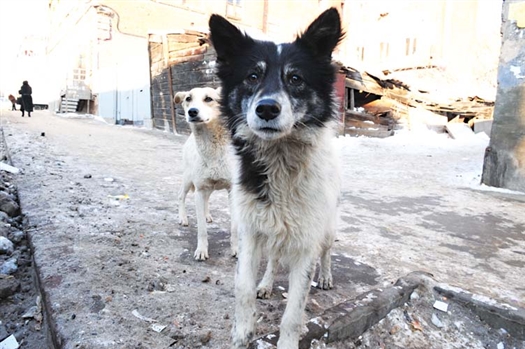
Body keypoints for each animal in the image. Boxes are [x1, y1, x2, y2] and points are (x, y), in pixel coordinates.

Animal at [173, 87, 236, 260]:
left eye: (208, 99)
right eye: (188, 99)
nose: (192, 112)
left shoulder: (233, 191)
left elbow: (235, 227)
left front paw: (236, 249)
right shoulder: (199, 190)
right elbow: (201, 229)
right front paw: (201, 250)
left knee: (207, 200)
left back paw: (207, 215)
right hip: (188, 179)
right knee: (180, 196)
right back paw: (183, 218)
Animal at [209, 8, 344, 348]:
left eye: (295, 78)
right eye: (252, 76)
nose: (267, 108)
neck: (280, 159)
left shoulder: (307, 243)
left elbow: (294, 312)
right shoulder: (251, 229)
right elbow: (243, 288)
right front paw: (242, 332)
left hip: (327, 226)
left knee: (327, 252)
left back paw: (326, 276)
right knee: (273, 258)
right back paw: (267, 284)